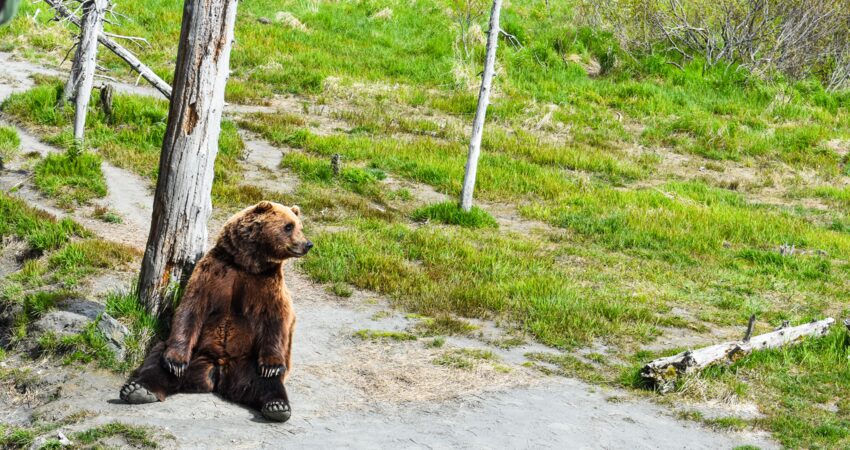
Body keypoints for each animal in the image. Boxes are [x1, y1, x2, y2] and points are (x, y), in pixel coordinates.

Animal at [118, 200, 312, 422]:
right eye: (289, 226)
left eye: (299, 226)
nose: (308, 244)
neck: (247, 263)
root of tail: (218, 373)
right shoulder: (214, 272)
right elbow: (191, 308)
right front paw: (175, 362)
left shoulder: (268, 284)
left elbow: (276, 319)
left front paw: (271, 366)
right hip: (196, 353)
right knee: (159, 358)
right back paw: (139, 389)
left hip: (248, 361)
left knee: (265, 382)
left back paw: (277, 406)